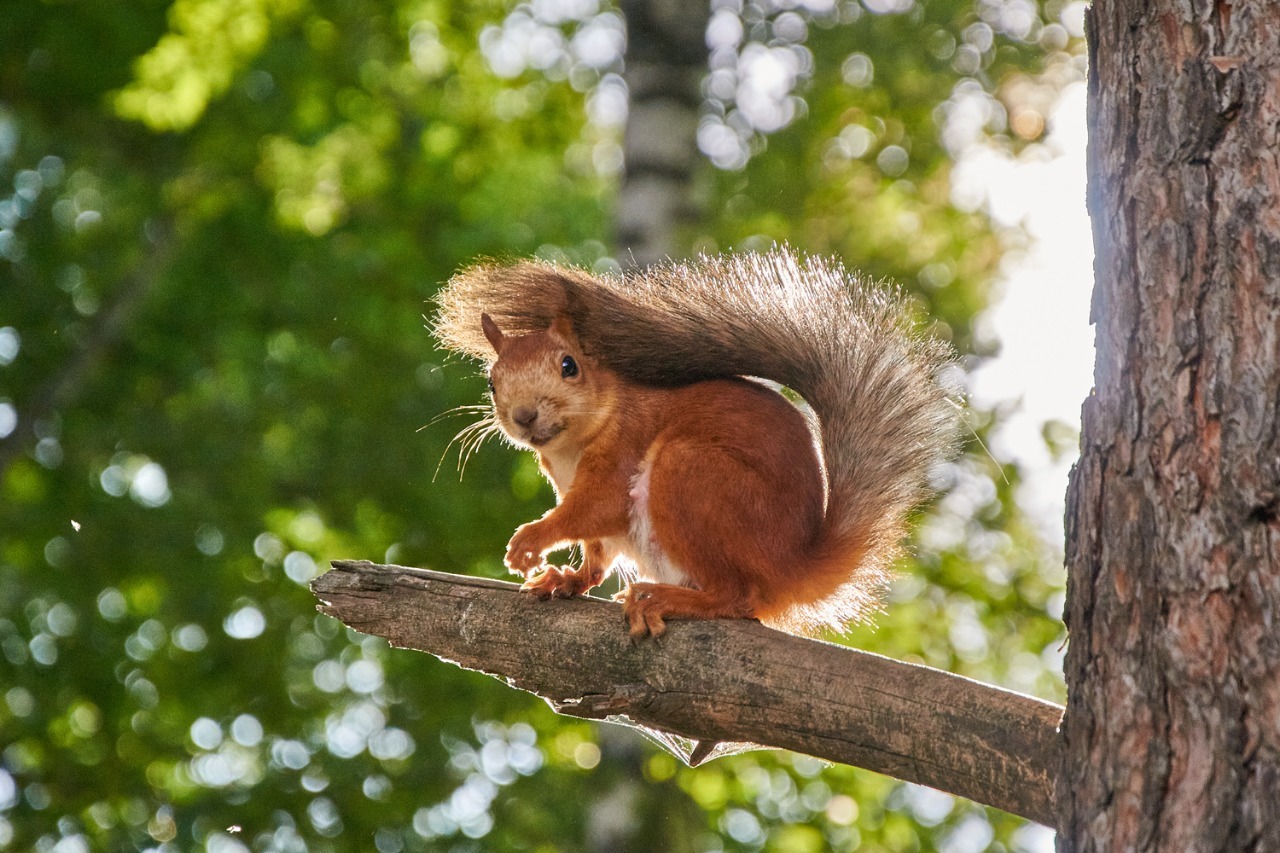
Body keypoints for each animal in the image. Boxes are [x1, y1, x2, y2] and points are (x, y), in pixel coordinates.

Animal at [435, 249, 957, 635]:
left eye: (570, 366)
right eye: (491, 382)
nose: (524, 416)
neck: (571, 447)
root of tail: (790, 568)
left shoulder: (621, 455)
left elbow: (594, 508)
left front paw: (530, 540)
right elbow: (595, 552)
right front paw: (565, 579)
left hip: (689, 473)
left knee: (739, 598)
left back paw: (665, 598)